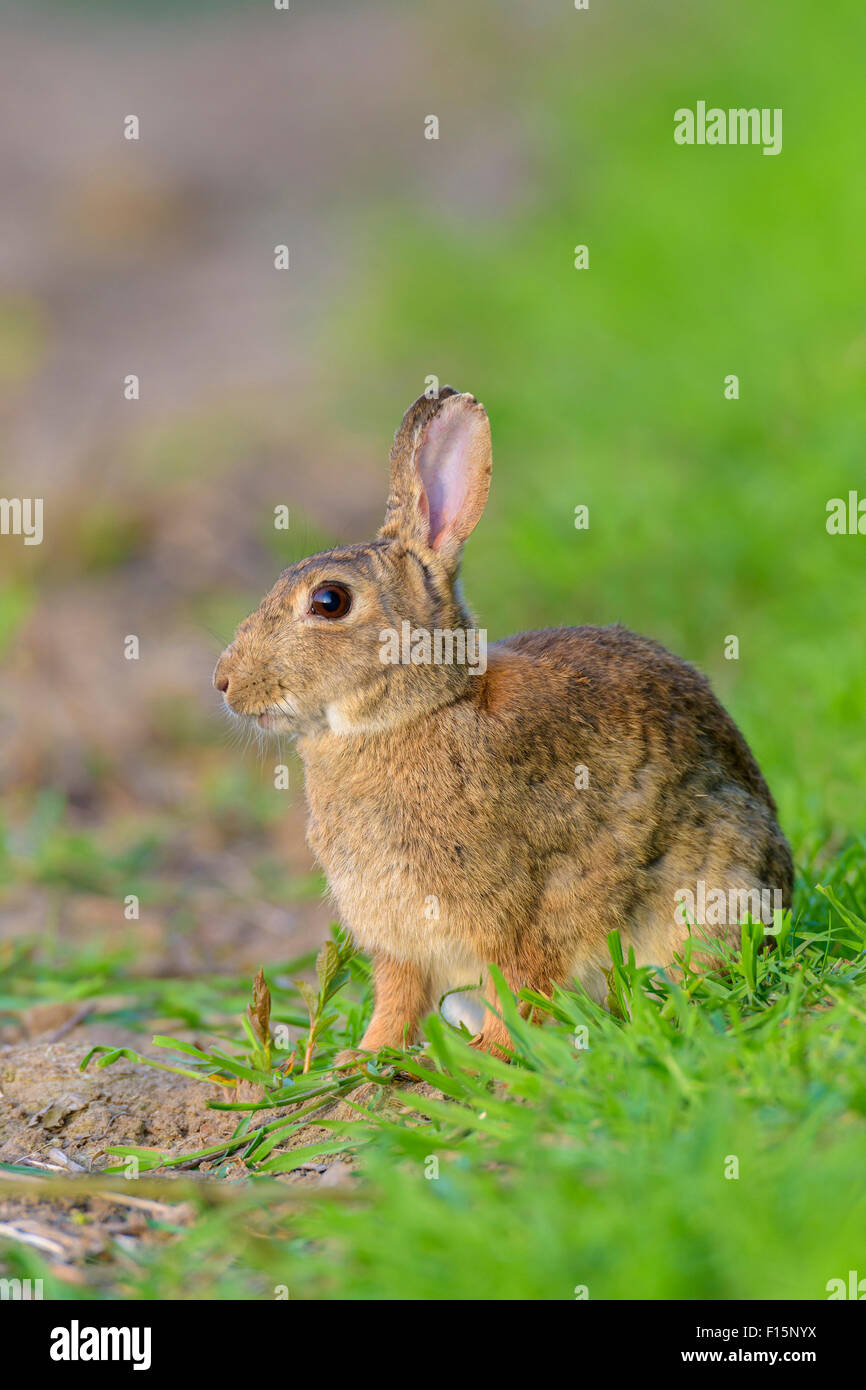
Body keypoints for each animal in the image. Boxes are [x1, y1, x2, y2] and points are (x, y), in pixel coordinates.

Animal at [213, 386, 794, 1060]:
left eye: (329, 601)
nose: (224, 683)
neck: (414, 713)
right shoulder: (402, 947)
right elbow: (397, 1000)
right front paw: (366, 1058)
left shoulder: (526, 912)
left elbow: (518, 986)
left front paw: (488, 1056)